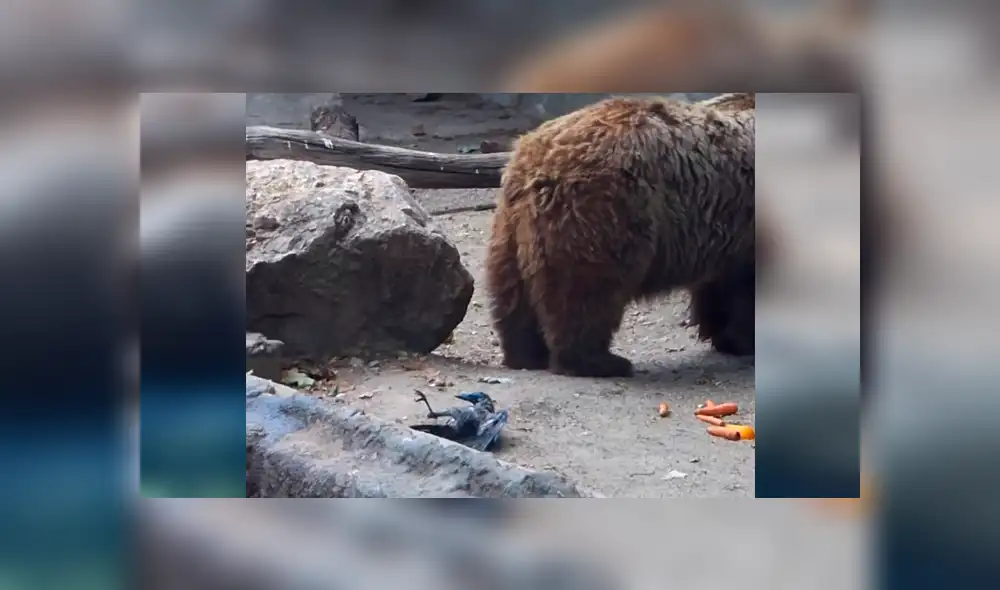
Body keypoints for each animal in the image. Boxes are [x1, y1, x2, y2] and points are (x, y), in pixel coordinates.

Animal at [485, 95, 756, 378]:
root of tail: (538, 158)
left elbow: (721, 285)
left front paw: (725, 336)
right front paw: (742, 340)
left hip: (510, 226)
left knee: (512, 291)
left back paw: (525, 353)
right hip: (604, 210)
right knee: (587, 292)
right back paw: (600, 361)